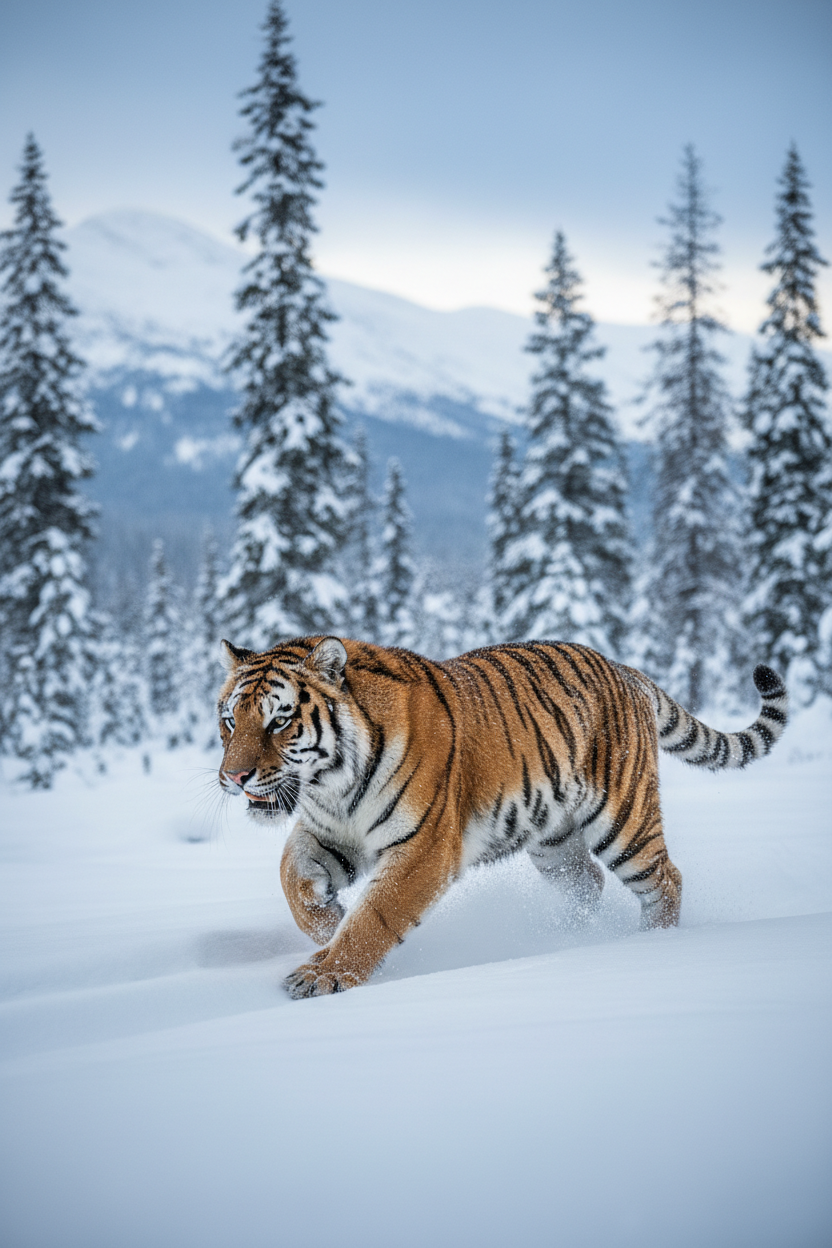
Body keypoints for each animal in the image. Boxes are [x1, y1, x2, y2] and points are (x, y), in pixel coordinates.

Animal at [217, 635, 788, 999]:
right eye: (229, 720)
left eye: (279, 721)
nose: (234, 777)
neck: (333, 784)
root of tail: (624, 668)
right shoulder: (328, 830)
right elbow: (292, 877)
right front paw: (325, 924)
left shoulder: (423, 847)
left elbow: (375, 918)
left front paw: (326, 974)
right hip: (553, 842)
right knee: (589, 882)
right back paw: (564, 936)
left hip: (623, 819)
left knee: (665, 878)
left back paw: (651, 944)